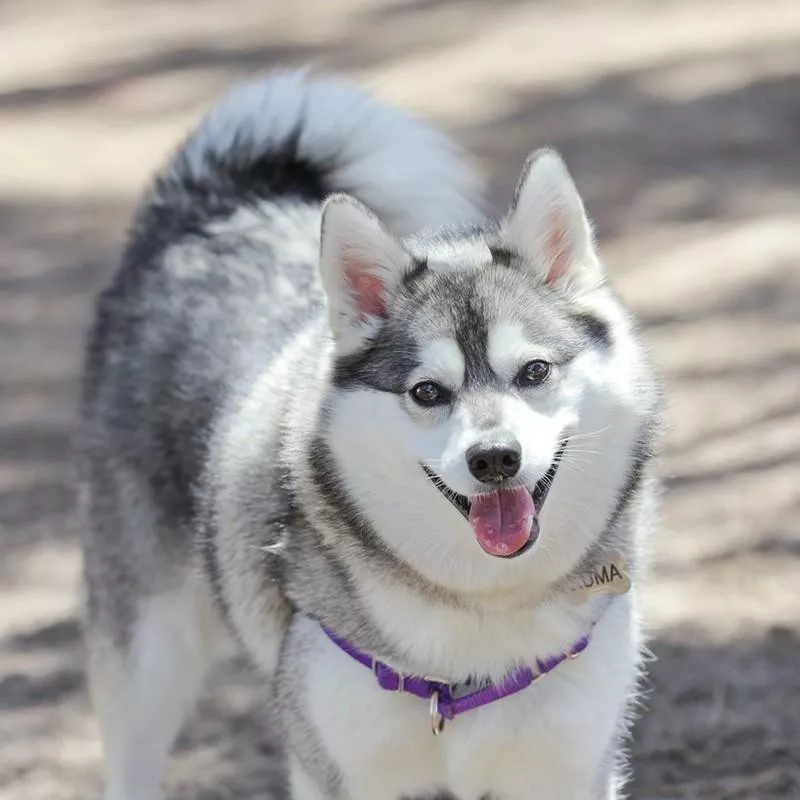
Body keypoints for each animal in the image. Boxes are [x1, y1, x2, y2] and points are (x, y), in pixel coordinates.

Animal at [76, 70, 664, 800]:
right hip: (147, 654)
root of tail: (215, 210)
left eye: (533, 372)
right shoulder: (341, 770)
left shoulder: (569, 768)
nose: (495, 460)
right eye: (427, 392)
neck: (479, 620)